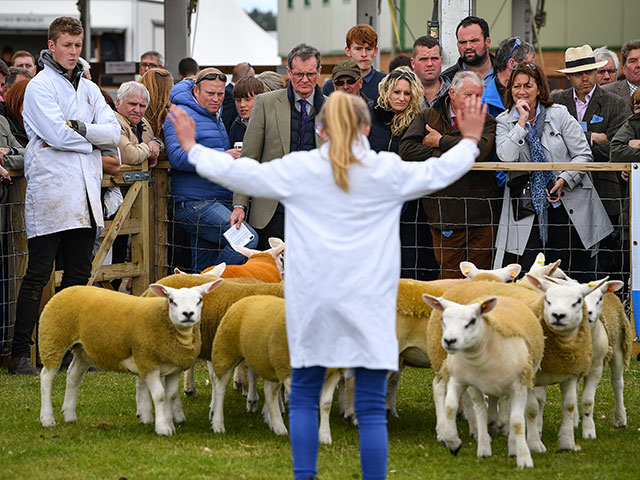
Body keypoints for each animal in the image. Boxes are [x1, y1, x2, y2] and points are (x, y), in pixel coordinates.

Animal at [38, 280, 222, 436]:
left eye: (199, 300)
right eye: (171, 301)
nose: (188, 314)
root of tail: (66, 289)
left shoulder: (173, 368)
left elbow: (170, 395)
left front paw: (169, 422)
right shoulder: (148, 363)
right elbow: (160, 395)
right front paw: (163, 428)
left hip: (84, 350)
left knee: (73, 376)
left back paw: (69, 414)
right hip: (52, 339)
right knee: (47, 377)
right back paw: (47, 418)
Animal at [210, 294, 342, 444]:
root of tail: (249, 297)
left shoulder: (334, 373)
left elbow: (326, 404)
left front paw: (325, 436)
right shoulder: (289, 371)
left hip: (271, 364)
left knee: (270, 392)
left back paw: (278, 427)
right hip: (225, 351)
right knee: (220, 387)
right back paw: (218, 424)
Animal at [422, 294, 544, 466]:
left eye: (472, 321)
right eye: (443, 320)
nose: (449, 341)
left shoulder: (518, 386)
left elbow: (517, 421)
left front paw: (524, 458)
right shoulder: (459, 379)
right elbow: (451, 408)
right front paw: (453, 442)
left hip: (526, 380)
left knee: (525, 411)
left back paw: (519, 445)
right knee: (480, 410)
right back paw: (484, 447)